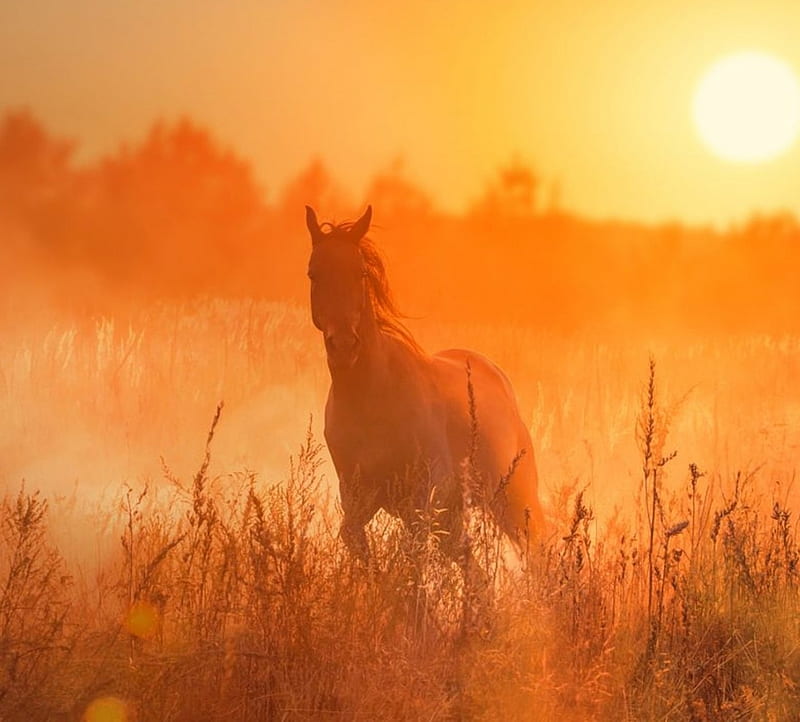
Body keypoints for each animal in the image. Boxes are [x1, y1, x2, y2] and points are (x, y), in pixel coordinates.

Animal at [306, 202, 544, 564]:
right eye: (313, 274)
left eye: (361, 273)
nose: (344, 346)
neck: (371, 397)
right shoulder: (359, 500)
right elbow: (358, 545)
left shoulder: (421, 502)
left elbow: (411, 563)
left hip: (512, 501)